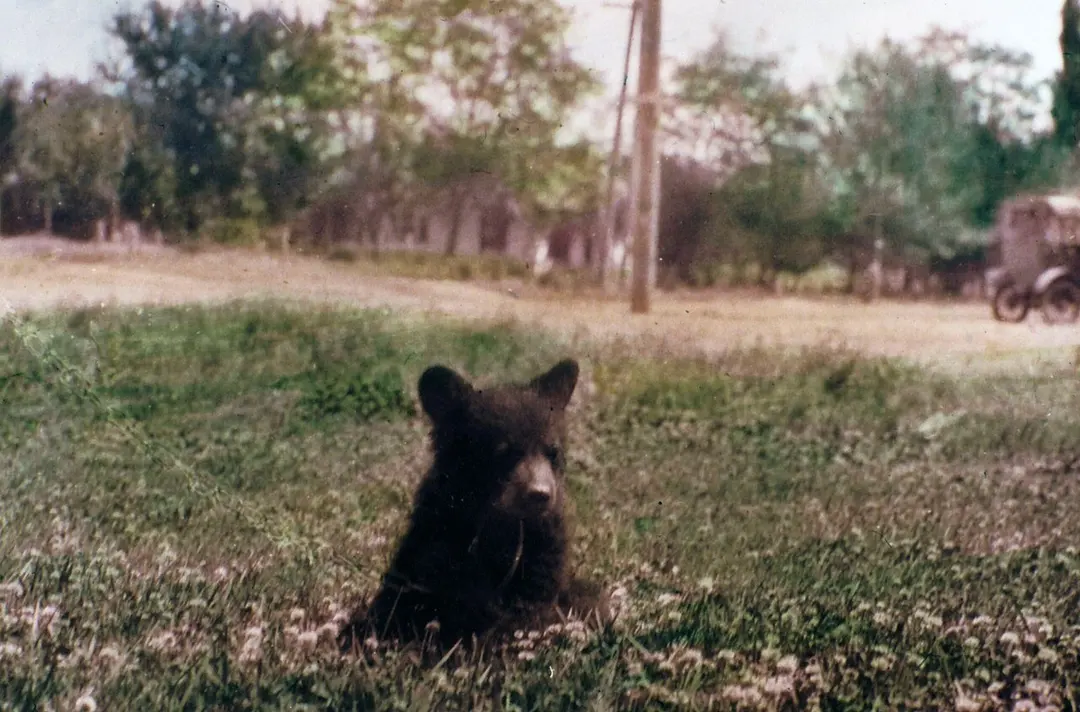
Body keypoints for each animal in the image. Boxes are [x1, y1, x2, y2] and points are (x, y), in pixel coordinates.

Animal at [338, 358, 609, 653]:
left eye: (553, 452)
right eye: (503, 452)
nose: (540, 494)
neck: (500, 525)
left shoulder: (543, 549)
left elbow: (537, 601)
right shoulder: (441, 545)